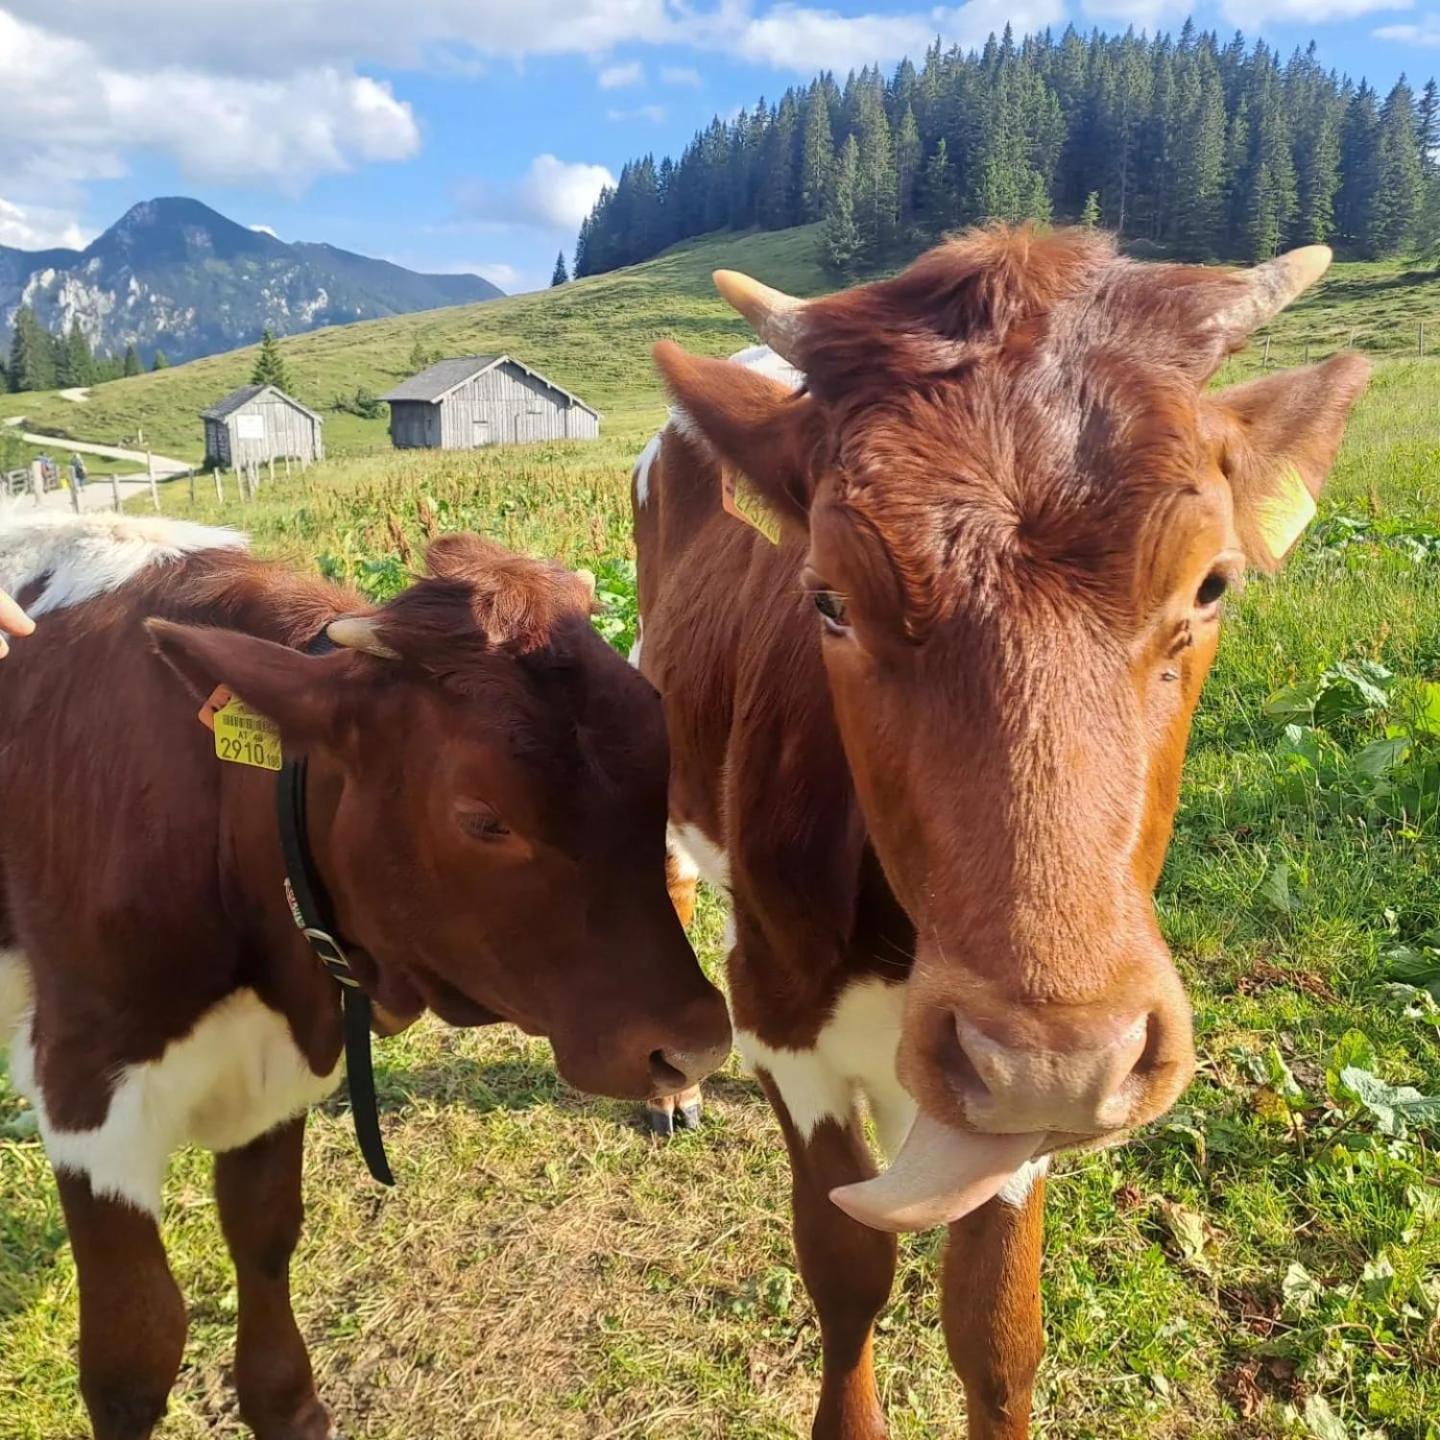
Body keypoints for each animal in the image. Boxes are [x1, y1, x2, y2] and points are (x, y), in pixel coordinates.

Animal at [2, 515, 731, 1440]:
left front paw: (288, 1403)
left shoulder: (271, 1067)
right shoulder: (86, 1084)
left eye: (658, 768)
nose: (696, 1046)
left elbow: (266, 1239)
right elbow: (136, 1347)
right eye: (482, 818)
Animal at [636, 230, 1365, 1434]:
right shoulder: (783, 1022)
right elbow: (847, 1274)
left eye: (1213, 584)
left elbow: (995, 1326)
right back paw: (674, 1088)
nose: (1051, 1058)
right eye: (828, 599)